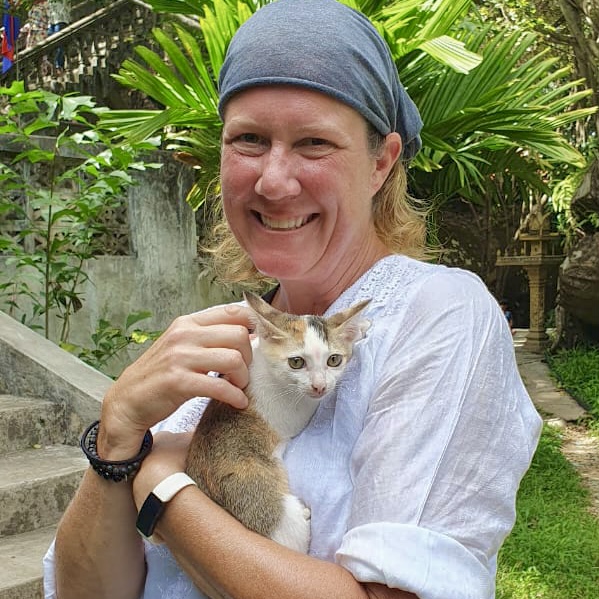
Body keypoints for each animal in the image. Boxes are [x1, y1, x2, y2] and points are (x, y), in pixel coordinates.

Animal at [185, 292, 370, 554]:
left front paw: (357, 328)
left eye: (333, 360)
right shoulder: (293, 409)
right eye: (296, 362)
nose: (320, 386)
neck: (266, 366)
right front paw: (358, 330)